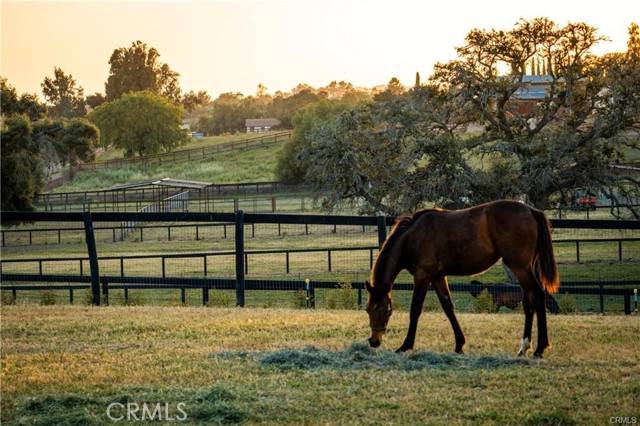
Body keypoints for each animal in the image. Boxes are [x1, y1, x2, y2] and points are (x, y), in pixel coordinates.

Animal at [364, 199, 560, 356]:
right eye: (367, 310)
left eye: (384, 310)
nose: (374, 341)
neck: (412, 236)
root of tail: (531, 211)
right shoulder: (438, 277)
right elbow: (448, 307)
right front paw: (459, 344)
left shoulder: (422, 277)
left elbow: (415, 310)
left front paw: (405, 346)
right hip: (525, 269)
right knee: (529, 303)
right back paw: (524, 348)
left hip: (520, 268)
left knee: (538, 296)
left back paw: (540, 348)